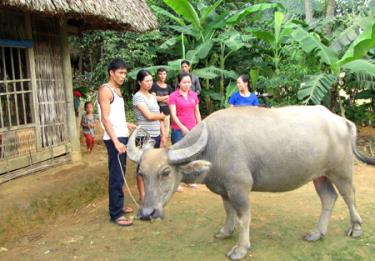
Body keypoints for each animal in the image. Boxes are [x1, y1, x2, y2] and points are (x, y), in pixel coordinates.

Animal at [127, 104, 375, 258]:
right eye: (141, 173)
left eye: (165, 172)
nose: (146, 213)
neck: (212, 146)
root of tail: (341, 121)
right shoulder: (224, 189)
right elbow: (228, 211)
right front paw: (225, 232)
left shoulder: (240, 188)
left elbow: (244, 217)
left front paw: (240, 248)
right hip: (319, 175)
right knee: (328, 198)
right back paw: (317, 232)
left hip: (341, 170)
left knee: (348, 195)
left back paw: (356, 228)